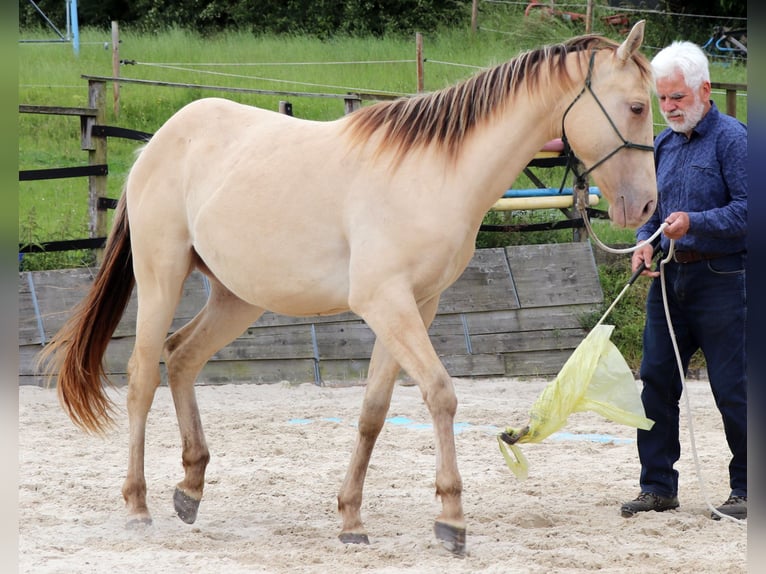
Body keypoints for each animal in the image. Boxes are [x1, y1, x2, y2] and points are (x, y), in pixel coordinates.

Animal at [40, 21, 656, 556]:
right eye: (636, 106)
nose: (647, 206)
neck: (435, 173)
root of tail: (157, 143)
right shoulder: (386, 302)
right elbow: (440, 393)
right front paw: (451, 519)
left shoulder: (416, 307)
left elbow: (374, 412)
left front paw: (351, 519)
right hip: (161, 275)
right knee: (143, 375)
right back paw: (137, 506)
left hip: (237, 297)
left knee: (182, 357)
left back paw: (190, 490)